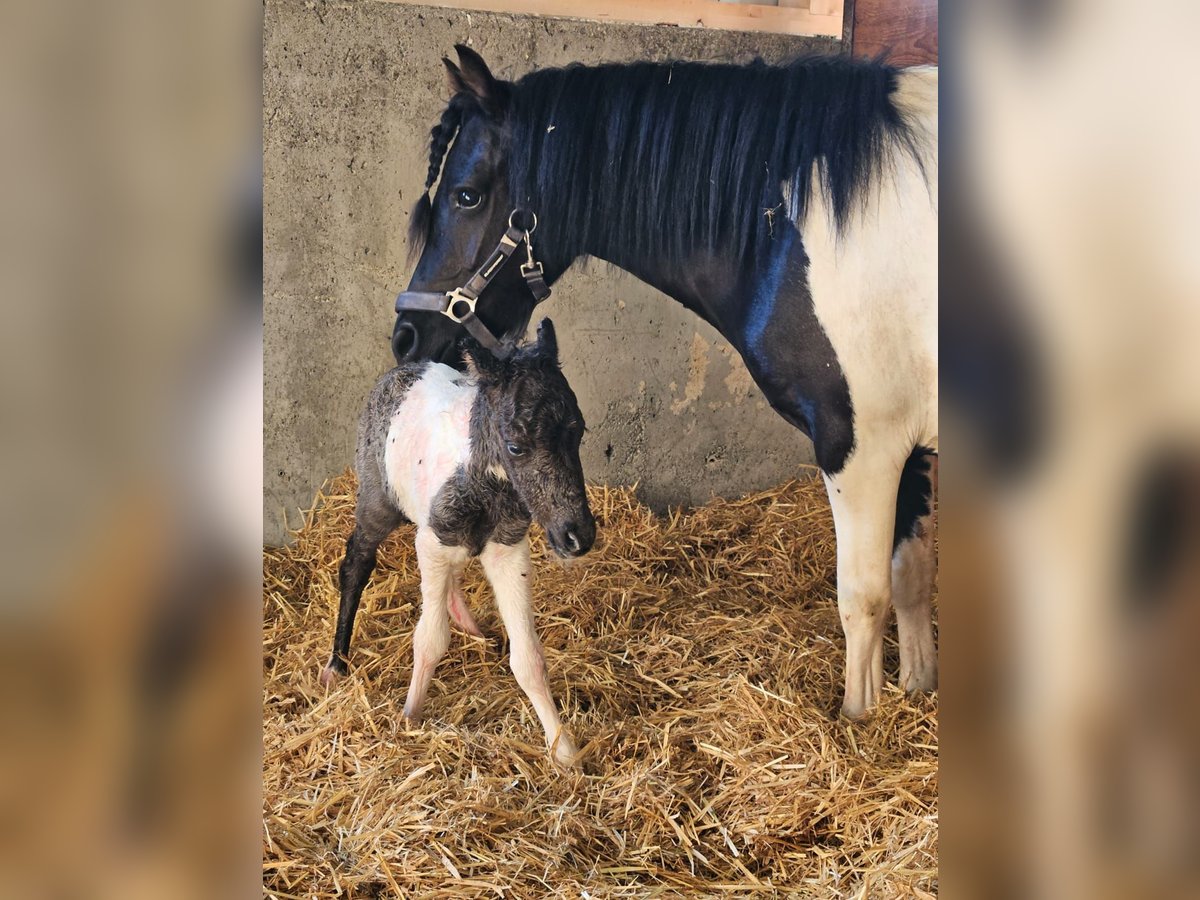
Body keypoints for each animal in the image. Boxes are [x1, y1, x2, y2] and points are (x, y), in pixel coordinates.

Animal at [321, 321, 597, 763]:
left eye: (578, 431)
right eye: (516, 446)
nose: (577, 536)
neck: (481, 481)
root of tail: (400, 370)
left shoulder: (509, 549)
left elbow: (529, 658)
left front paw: (565, 751)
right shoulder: (431, 544)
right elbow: (430, 639)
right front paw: (409, 716)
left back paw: (473, 628)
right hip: (377, 502)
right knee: (356, 562)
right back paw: (336, 663)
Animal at [393, 47, 936, 720]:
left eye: (467, 195)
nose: (406, 337)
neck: (801, 232)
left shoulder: (861, 446)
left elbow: (864, 598)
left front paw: (857, 722)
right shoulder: (910, 446)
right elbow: (912, 575)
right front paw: (916, 690)